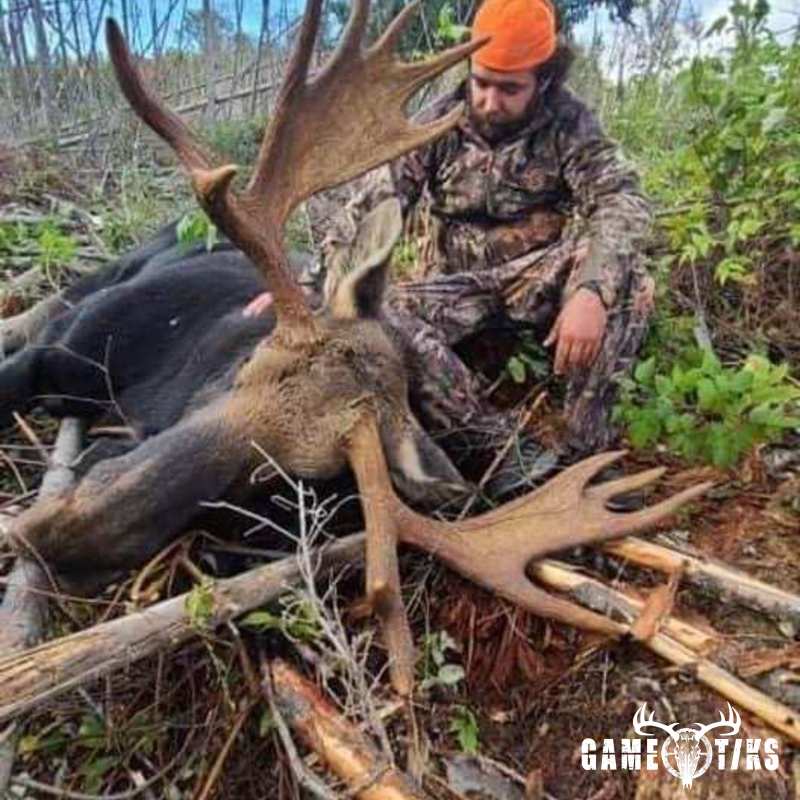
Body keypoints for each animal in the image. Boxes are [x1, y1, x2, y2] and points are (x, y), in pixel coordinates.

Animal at [6, 0, 711, 695]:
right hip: (105, 283)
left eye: (279, 478)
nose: (49, 533)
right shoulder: (69, 350)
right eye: (245, 372)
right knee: (44, 306)